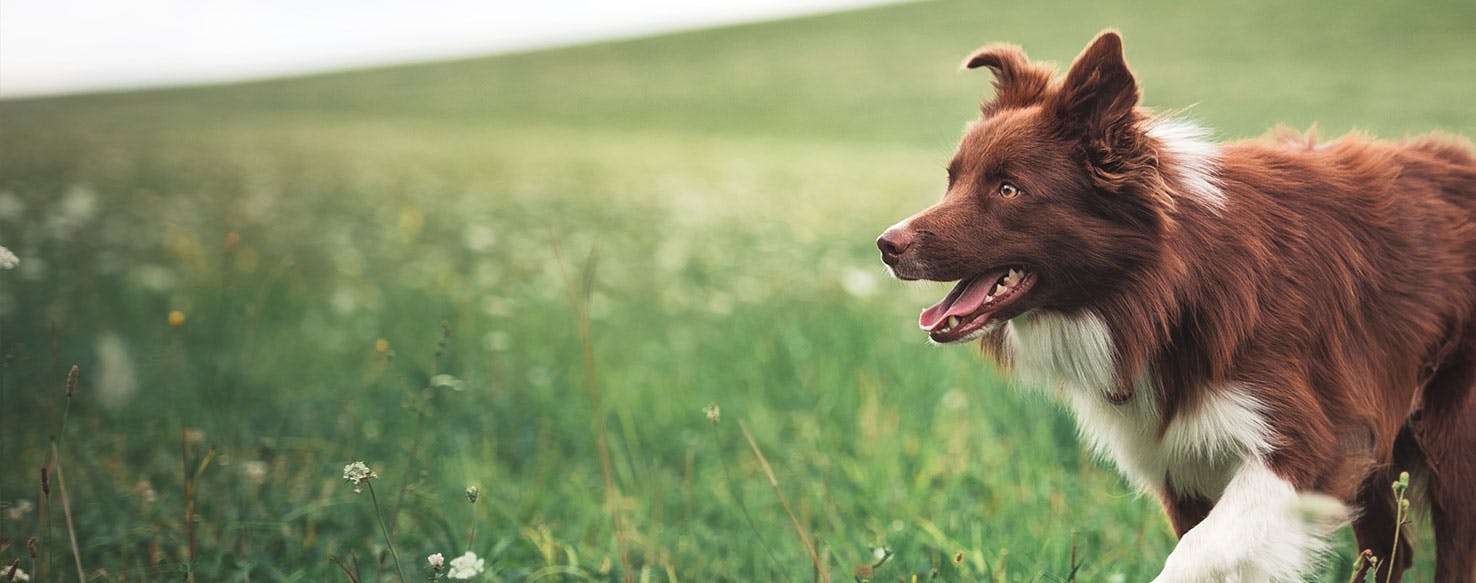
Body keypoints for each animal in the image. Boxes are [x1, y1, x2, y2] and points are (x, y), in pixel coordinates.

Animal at [873, 31, 1476, 583]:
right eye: (952, 180)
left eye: (1007, 190)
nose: (886, 245)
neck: (1166, 291)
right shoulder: (1180, 463)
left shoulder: (1315, 441)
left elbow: (1198, 552)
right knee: (1392, 551)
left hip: (1452, 438)